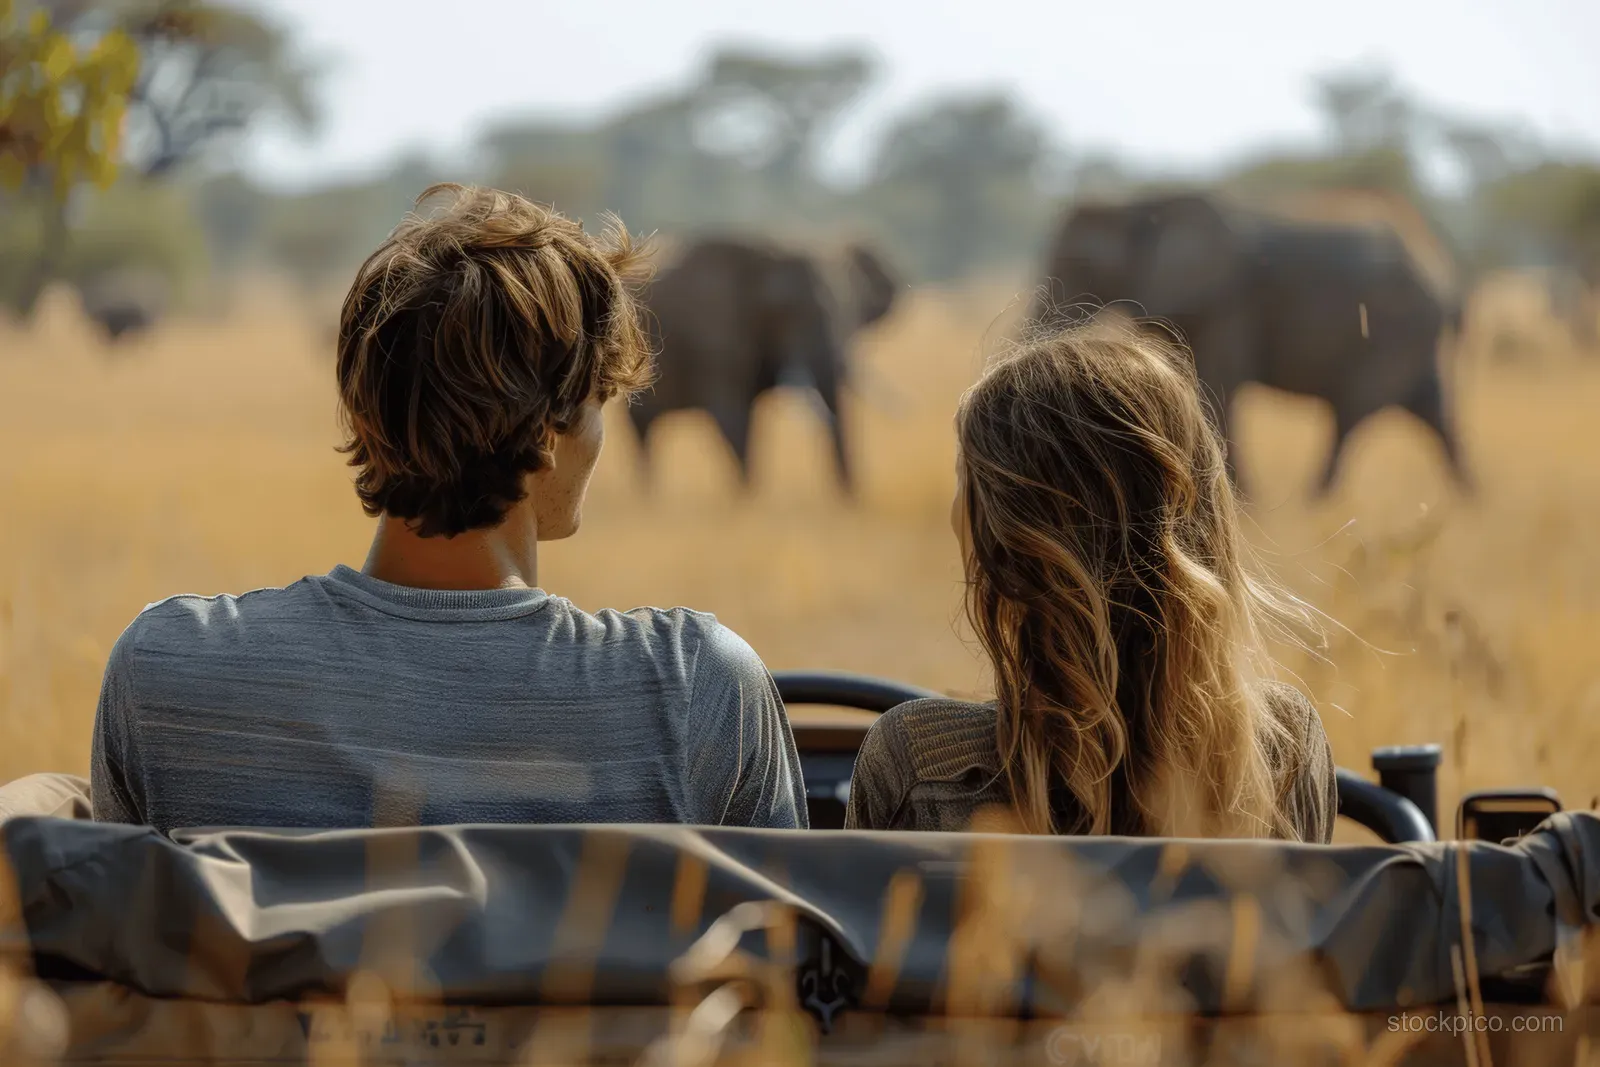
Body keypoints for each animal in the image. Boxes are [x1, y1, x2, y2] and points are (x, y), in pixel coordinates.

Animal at [629, 238, 899, 495]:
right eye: (785, 312)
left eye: (851, 309)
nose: (850, 500)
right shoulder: (715, 340)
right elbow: (733, 418)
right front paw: (746, 499)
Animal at [1028, 192, 1472, 498]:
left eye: (1081, 267)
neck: (1140, 205)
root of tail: (1445, 273)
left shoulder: (1230, 304)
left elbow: (1218, 383)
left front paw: (1241, 502)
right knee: (1431, 411)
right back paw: (1469, 504)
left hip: (1394, 333)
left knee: (1354, 413)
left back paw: (1313, 503)